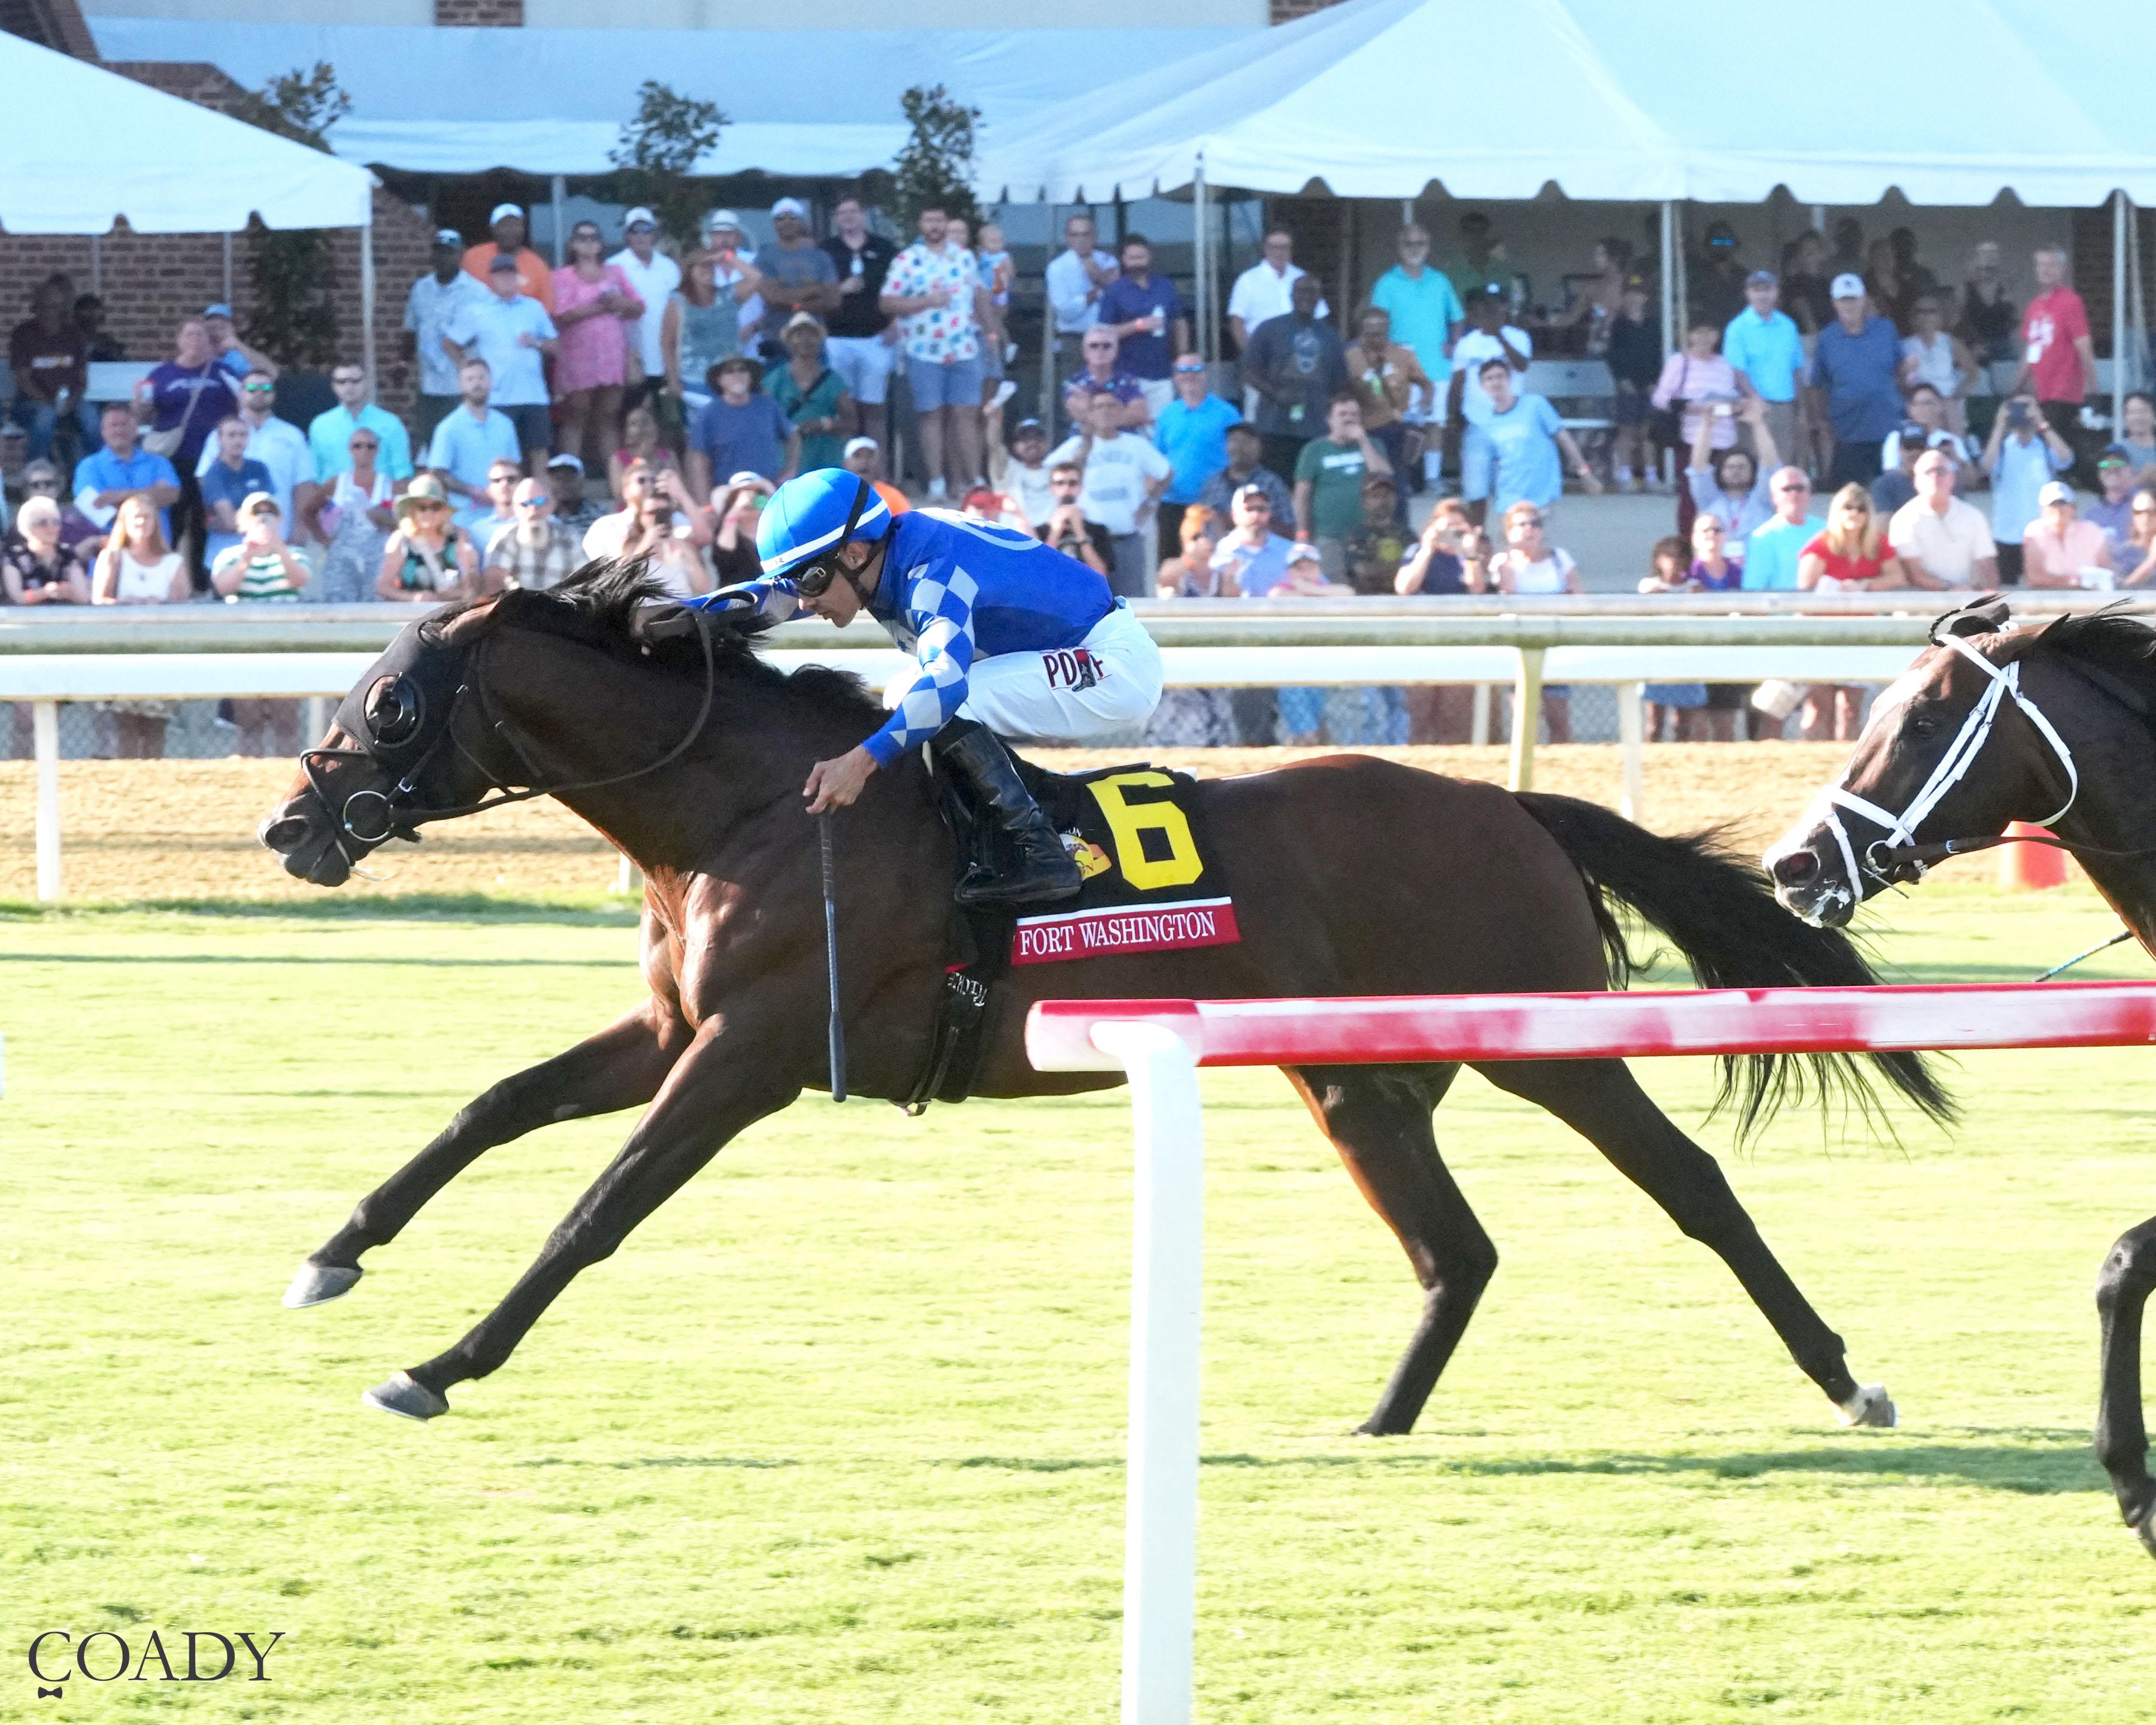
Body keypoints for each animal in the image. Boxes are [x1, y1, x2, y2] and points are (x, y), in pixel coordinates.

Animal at [260, 563, 1947, 1431]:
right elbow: (494, 1107)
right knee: (1454, 1249)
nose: (290, 826)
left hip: (1543, 1042)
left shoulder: (748, 1053)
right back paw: (1379, 1424)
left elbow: (594, 1210)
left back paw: (1849, 1377)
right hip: (1357, 1079)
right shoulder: (677, 1030)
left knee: (1691, 1183)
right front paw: (334, 1254)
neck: (746, 810)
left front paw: (439, 1366)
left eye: (388, 702)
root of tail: (1512, 806)